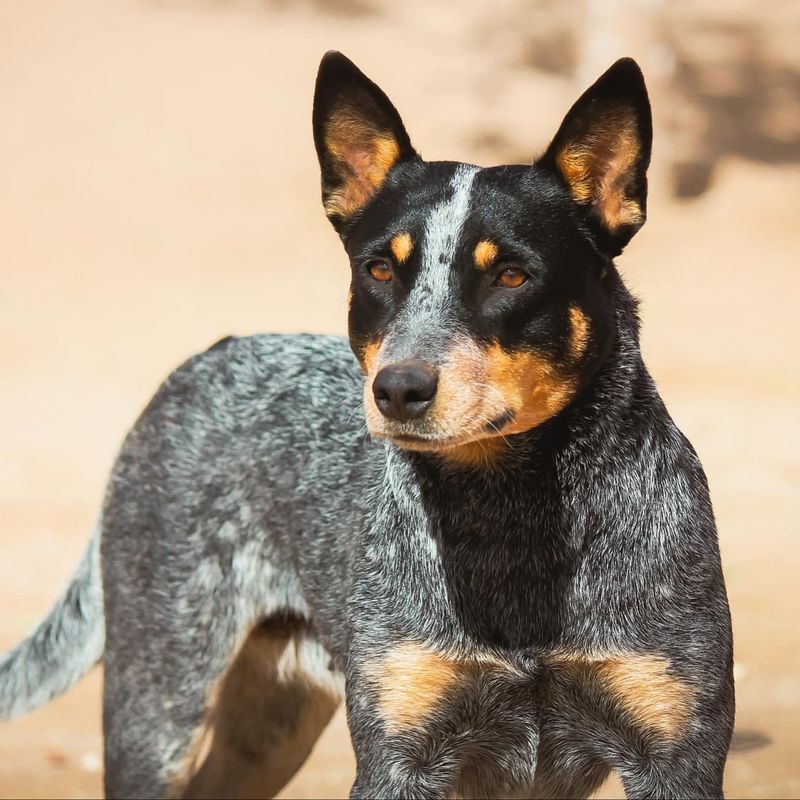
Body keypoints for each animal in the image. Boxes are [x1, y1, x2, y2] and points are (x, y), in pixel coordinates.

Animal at [0, 53, 736, 796]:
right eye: (379, 268)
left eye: (510, 275)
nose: (398, 389)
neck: (511, 519)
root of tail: (206, 356)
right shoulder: (398, 755)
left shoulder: (677, 758)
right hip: (159, 706)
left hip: (273, 724)